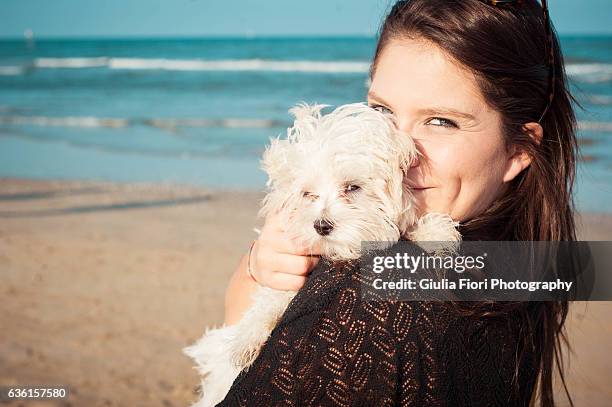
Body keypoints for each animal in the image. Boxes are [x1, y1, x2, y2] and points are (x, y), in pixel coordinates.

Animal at [184, 103, 462, 407]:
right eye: (308, 194)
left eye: (352, 187)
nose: (321, 225)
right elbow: (272, 296)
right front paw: (248, 337)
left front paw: (432, 231)